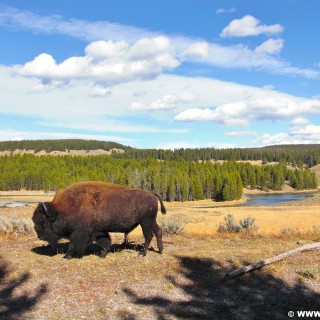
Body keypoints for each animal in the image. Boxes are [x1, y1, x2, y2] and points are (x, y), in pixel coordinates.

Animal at [32, 181, 166, 258]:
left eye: (43, 223)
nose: (39, 236)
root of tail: (151, 194)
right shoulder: (98, 231)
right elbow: (104, 242)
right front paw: (102, 254)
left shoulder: (79, 232)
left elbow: (73, 244)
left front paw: (66, 256)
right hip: (151, 221)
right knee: (158, 231)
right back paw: (160, 250)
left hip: (145, 222)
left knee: (148, 236)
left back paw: (142, 254)